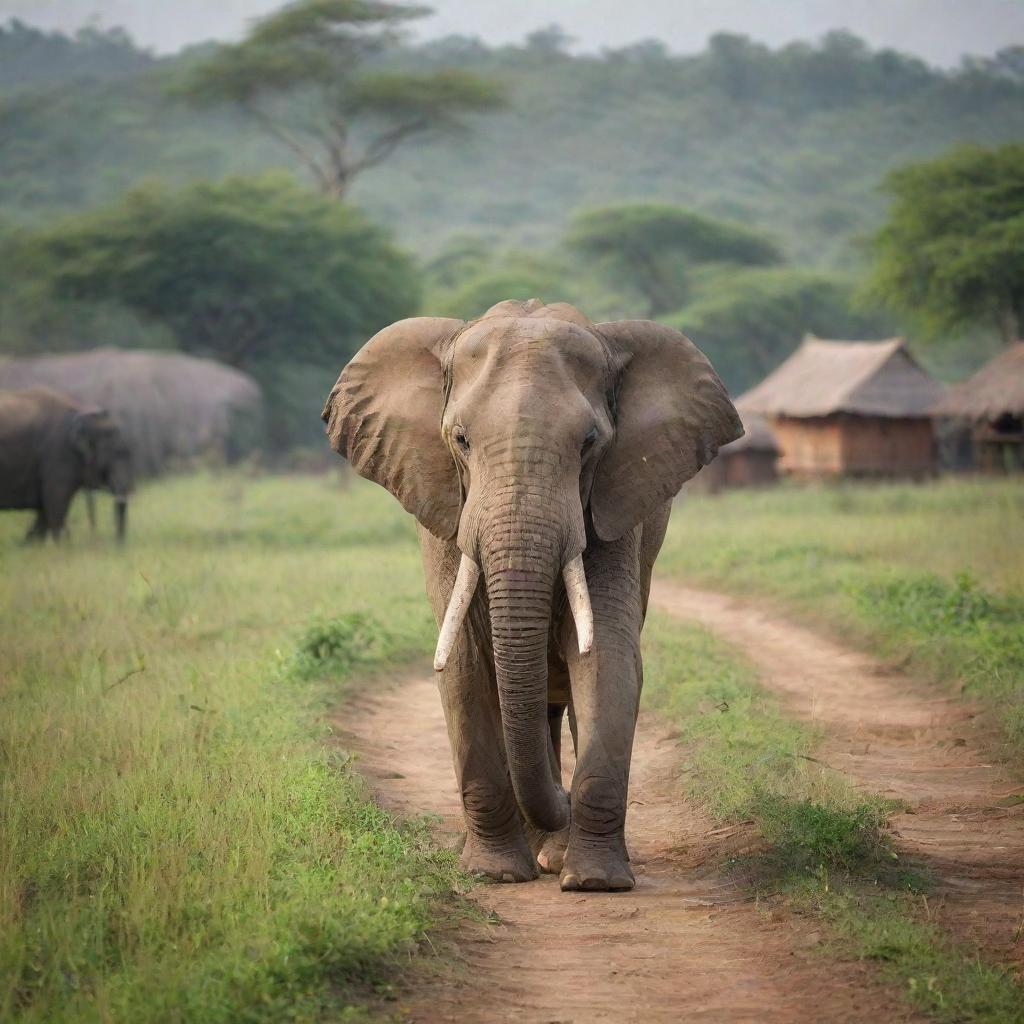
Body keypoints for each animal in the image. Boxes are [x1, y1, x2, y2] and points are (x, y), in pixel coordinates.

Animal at [0, 385, 133, 544]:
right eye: (114, 454)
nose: (118, 545)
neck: (82, 412)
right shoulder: (58, 453)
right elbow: (55, 505)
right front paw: (61, 546)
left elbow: (46, 510)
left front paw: (31, 545)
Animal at [323, 299, 741, 892]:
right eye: (460, 440)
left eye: (590, 444)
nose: (562, 799)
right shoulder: (446, 513)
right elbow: (466, 665)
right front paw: (493, 874)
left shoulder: (614, 510)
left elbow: (606, 658)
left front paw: (595, 883)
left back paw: (554, 854)